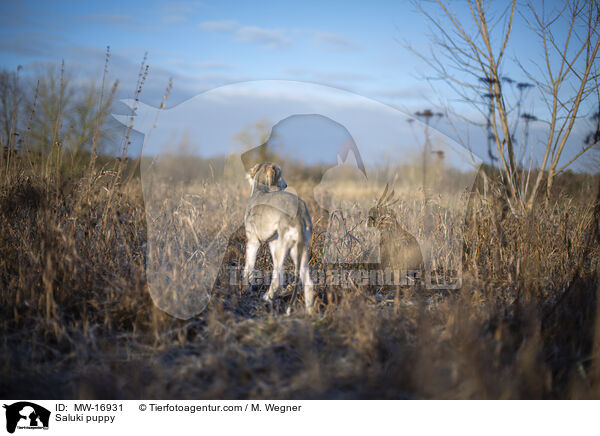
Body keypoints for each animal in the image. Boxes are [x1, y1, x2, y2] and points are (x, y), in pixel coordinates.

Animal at [243, 162, 314, 312]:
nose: (286, 185)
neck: (260, 191)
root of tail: (299, 211)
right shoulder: (271, 243)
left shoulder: (253, 241)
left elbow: (248, 267)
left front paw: (245, 290)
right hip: (299, 250)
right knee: (308, 283)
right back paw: (310, 313)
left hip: (281, 247)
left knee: (276, 278)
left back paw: (267, 297)